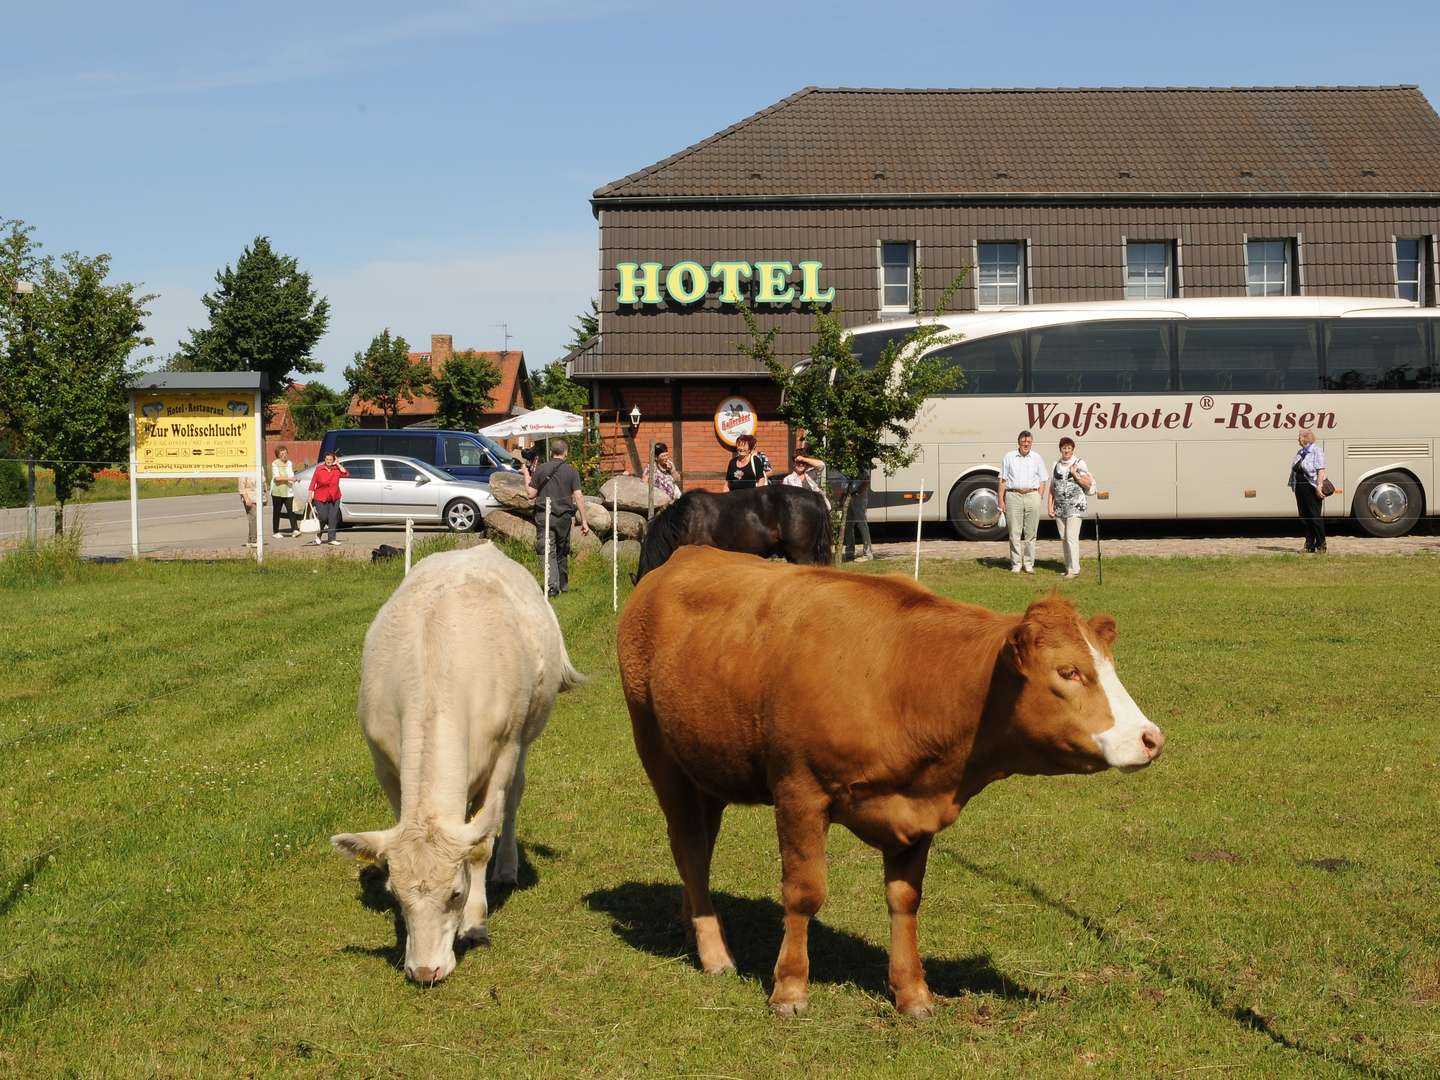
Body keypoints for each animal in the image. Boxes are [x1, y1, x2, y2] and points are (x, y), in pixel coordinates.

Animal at [331, 544, 584, 984]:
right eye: (396, 896)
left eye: (455, 893)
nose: (425, 970)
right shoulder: (385, 765)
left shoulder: (503, 751)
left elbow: (480, 844)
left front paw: (476, 922)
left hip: (526, 734)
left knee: (512, 801)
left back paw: (506, 867)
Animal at [613, 550, 1163, 1025]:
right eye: (1068, 671)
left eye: (1108, 667)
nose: (1150, 738)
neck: (903, 677)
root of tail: (682, 558)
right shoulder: (798, 791)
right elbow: (804, 893)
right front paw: (789, 989)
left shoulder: (916, 810)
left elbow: (904, 900)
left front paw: (912, 993)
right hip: (658, 751)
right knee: (689, 846)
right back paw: (715, 953)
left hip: (707, 764)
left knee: (697, 849)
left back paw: (693, 924)